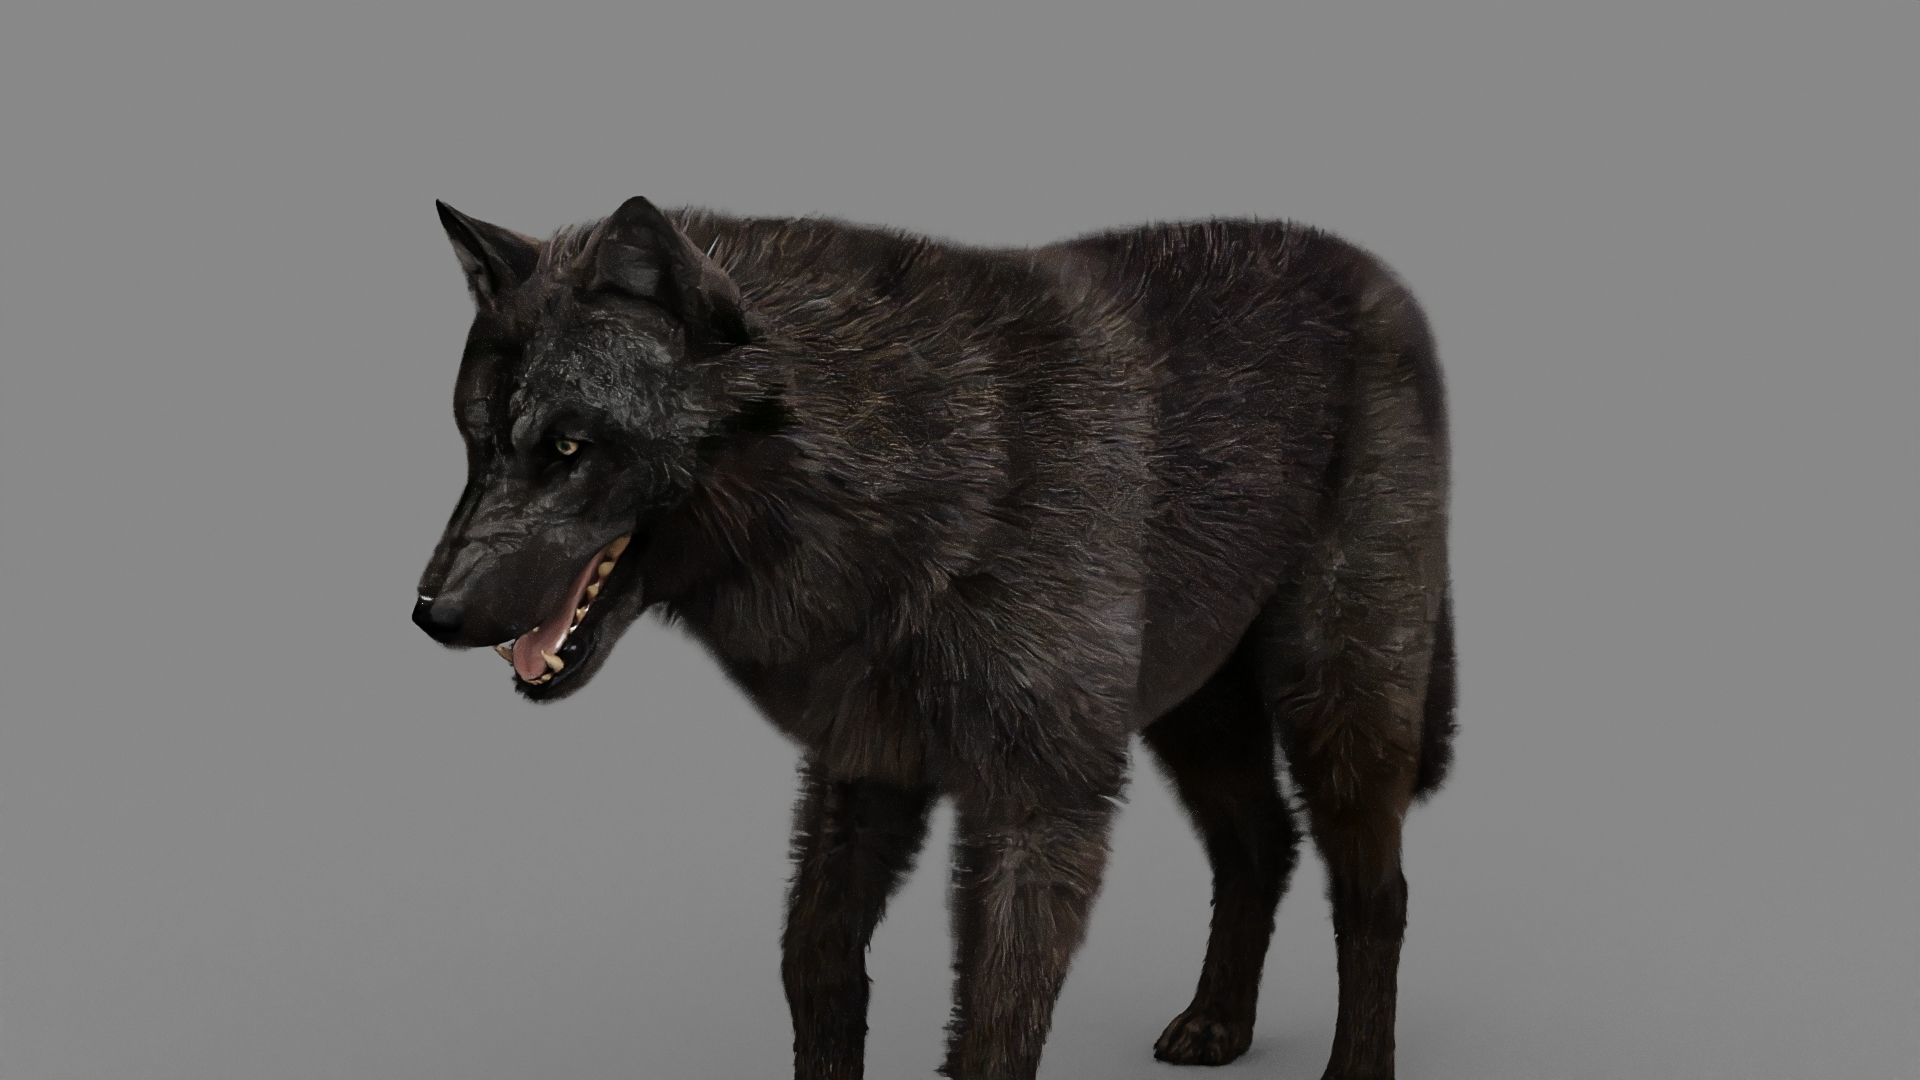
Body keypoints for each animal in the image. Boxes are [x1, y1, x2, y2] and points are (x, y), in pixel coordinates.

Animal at [412, 194, 1456, 1080]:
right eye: (475, 442)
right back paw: (1217, 1025)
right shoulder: (865, 764)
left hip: (1335, 707)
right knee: (1262, 844)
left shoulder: (1040, 804)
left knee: (1377, 890)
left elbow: (993, 1024)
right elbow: (815, 964)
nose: (430, 614)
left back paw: (1355, 1067)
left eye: (568, 447)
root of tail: (1382, 278)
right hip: (1195, 715)